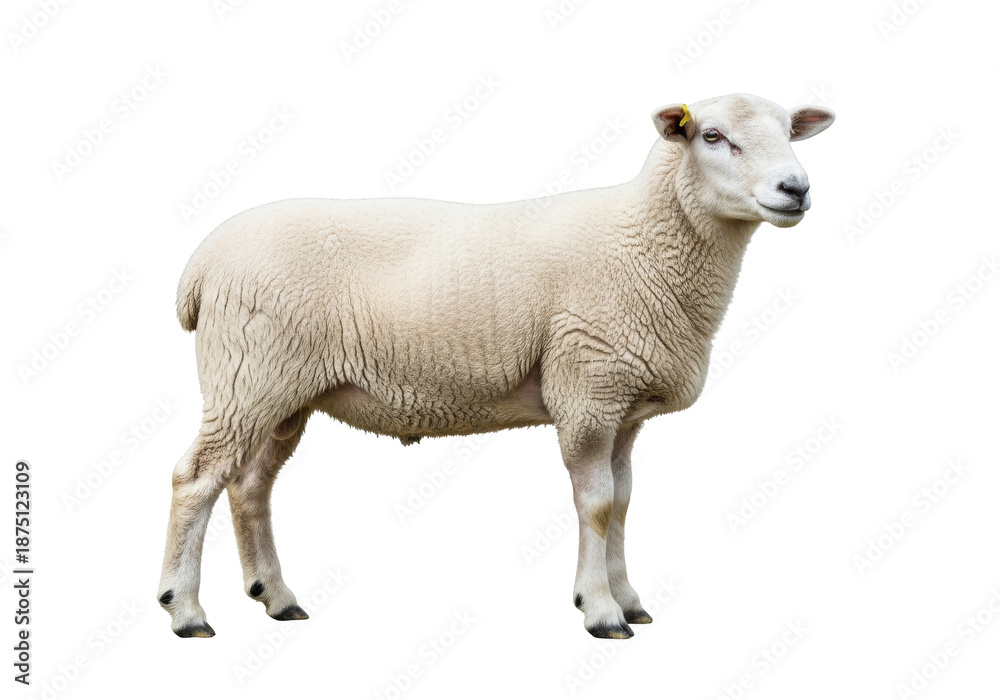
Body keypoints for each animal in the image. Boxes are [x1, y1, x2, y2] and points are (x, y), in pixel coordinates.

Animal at [157, 93, 835, 639]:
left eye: (788, 130)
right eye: (712, 135)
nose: (796, 189)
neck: (645, 237)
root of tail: (201, 265)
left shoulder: (624, 407)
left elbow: (623, 502)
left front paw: (629, 600)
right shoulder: (586, 391)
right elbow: (596, 504)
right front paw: (600, 611)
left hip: (280, 391)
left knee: (249, 485)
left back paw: (275, 597)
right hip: (247, 374)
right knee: (196, 479)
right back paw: (185, 610)